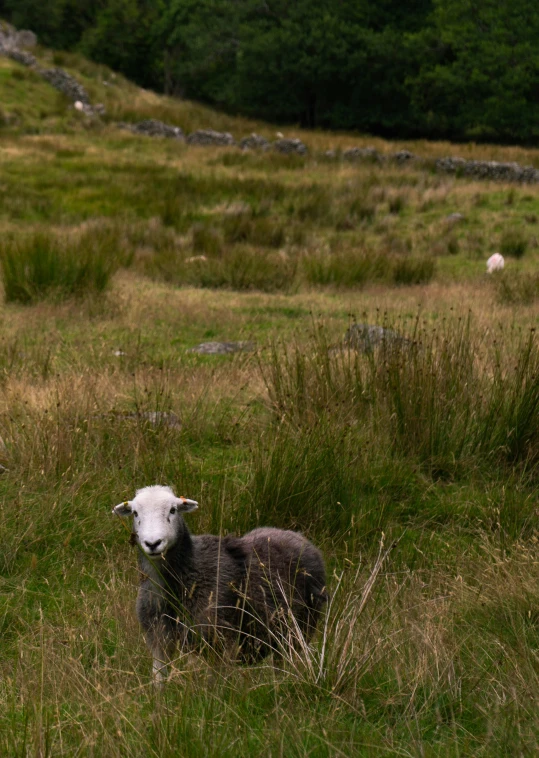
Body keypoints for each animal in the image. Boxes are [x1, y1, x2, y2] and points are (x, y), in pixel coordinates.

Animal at [112, 486, 326, 684]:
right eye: (135, 513)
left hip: (300, 628)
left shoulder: (220, 641)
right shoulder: (158, 640)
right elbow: (158, 680)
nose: (153, 543)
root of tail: (296, 535)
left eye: (173, 510)